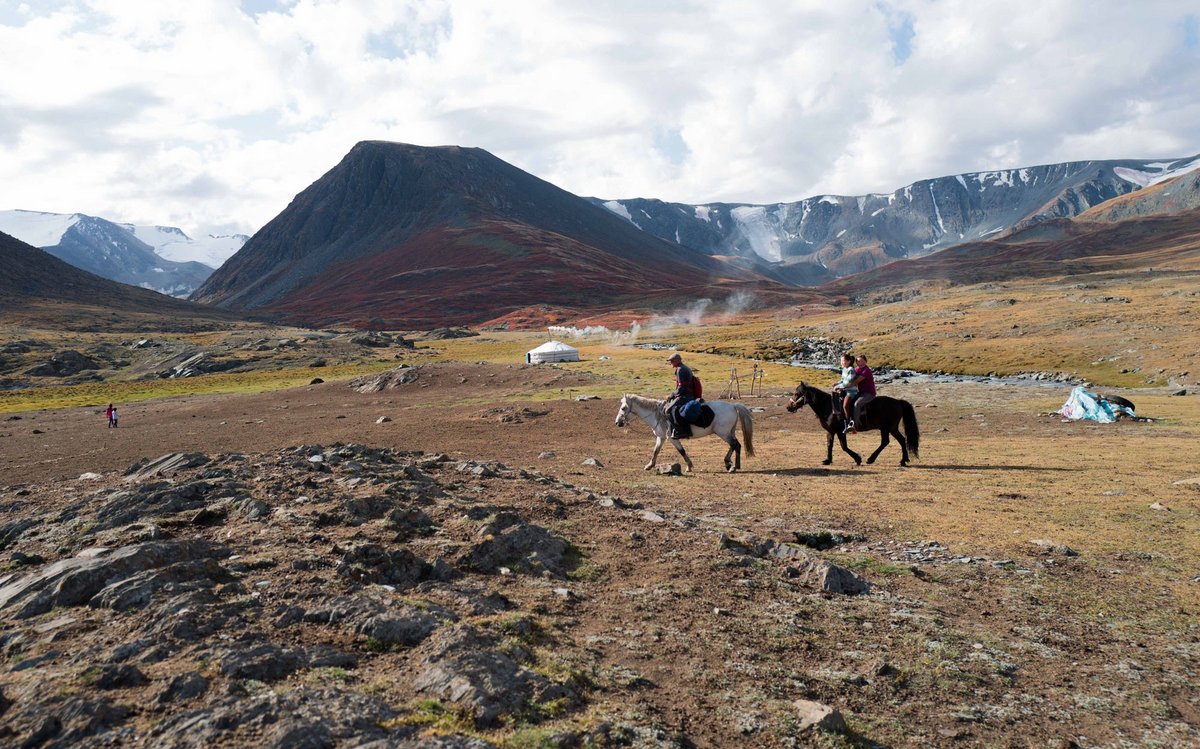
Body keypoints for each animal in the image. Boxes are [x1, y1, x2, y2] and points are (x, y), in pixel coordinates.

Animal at [614, 396, 753, 470]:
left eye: (623, 408)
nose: (617, 422)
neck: (659, 415)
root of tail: (733, 406)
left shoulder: (672, 438)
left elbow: (681, 451)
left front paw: (689, 466)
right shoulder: (661, 437)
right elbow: (655, 451)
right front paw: (649, 465)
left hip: (723, 433)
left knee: (735, 445)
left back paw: (734, 466)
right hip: (728, 432)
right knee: (734, 445)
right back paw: (728, 462)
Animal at [782, 384, 921, 465]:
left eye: (797, 393)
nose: (788, 407)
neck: (828, 407)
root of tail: (898, 401)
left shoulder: (840, 431)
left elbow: (844, 447)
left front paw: (857, 459)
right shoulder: (830, 431)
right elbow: (829, 445)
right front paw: (828, 460)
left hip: (888, 428)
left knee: (890, 441)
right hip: (889, 428)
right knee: (898, 440)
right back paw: (901, 460)